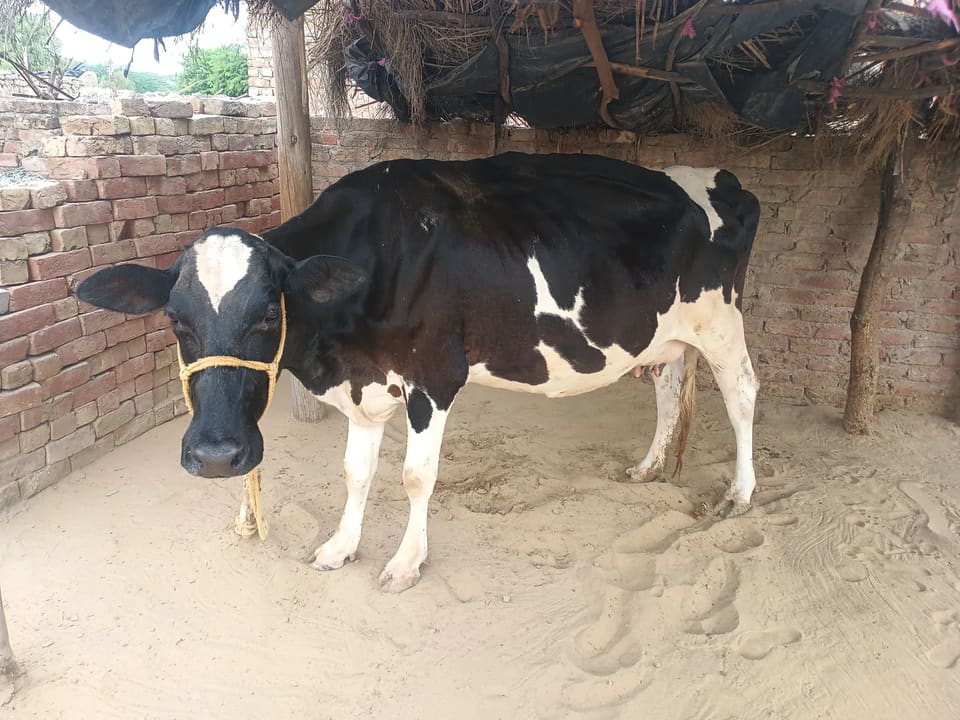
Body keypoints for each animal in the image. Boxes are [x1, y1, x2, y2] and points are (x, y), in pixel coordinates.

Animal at [76, 152, 761, 593]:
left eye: (271, 311)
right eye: (175, 320)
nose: (217, 456)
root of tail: (719, 176)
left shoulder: (434, 376)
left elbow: (414, 477)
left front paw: (406, 563)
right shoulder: (363, 383)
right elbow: (355, 473)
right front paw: (340, 547)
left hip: (721, 320)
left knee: (742, 394)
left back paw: (740, 493)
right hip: (665, 333)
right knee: (668, 388)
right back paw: (648, 468)